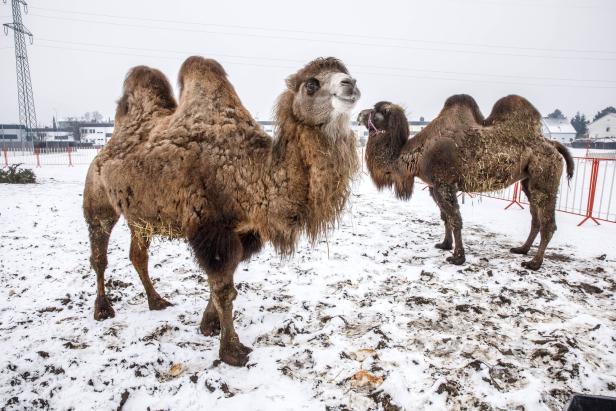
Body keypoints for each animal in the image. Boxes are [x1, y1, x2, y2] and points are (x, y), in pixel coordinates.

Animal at [82, 55, 360, 366]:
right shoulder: (211, 228)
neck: (249, 173)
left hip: (140, 214)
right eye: (311, 84)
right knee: (99, 254)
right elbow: (224, 289)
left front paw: (209, 324)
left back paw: (157, 301)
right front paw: (231, 350)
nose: (351, 84)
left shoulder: (245, 230)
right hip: (98, 198)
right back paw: (103, 309)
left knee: (138, 256)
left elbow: (228, 281)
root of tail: (106, 148)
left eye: (345, 73)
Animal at [358, 96, 576, 270]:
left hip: (545, 178)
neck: (415, 156)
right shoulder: (434, 186)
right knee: (535, 218)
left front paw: (458, 257)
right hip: (528, 181)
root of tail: (553, 144)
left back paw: (534, 263)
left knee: (548, 222)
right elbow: (445, 217)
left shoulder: (444, 184)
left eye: (376, 111)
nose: (360, 114)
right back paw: (522, 249)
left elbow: (455, 219)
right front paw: (444, 244)